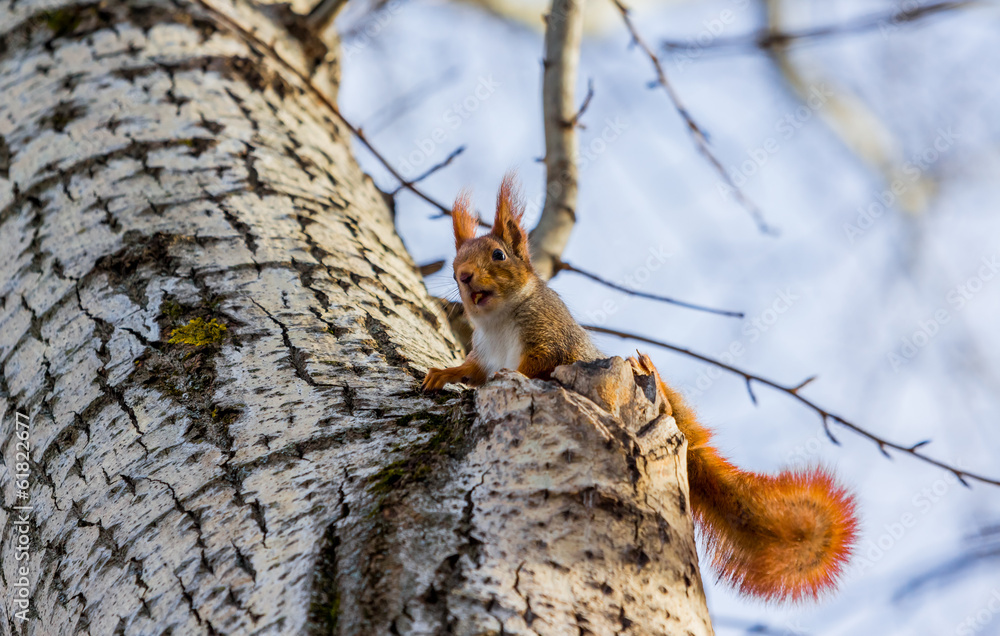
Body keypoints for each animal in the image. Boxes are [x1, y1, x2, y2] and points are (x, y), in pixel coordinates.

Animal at [422, 174, 860, 600]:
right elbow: (472, 370)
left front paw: (510, 376)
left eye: (499, 255)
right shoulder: (484, 352)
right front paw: (443, 373)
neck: (497, 322)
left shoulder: (550, 337)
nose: (464, 277)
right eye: (455, 264)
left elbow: (536, 365)